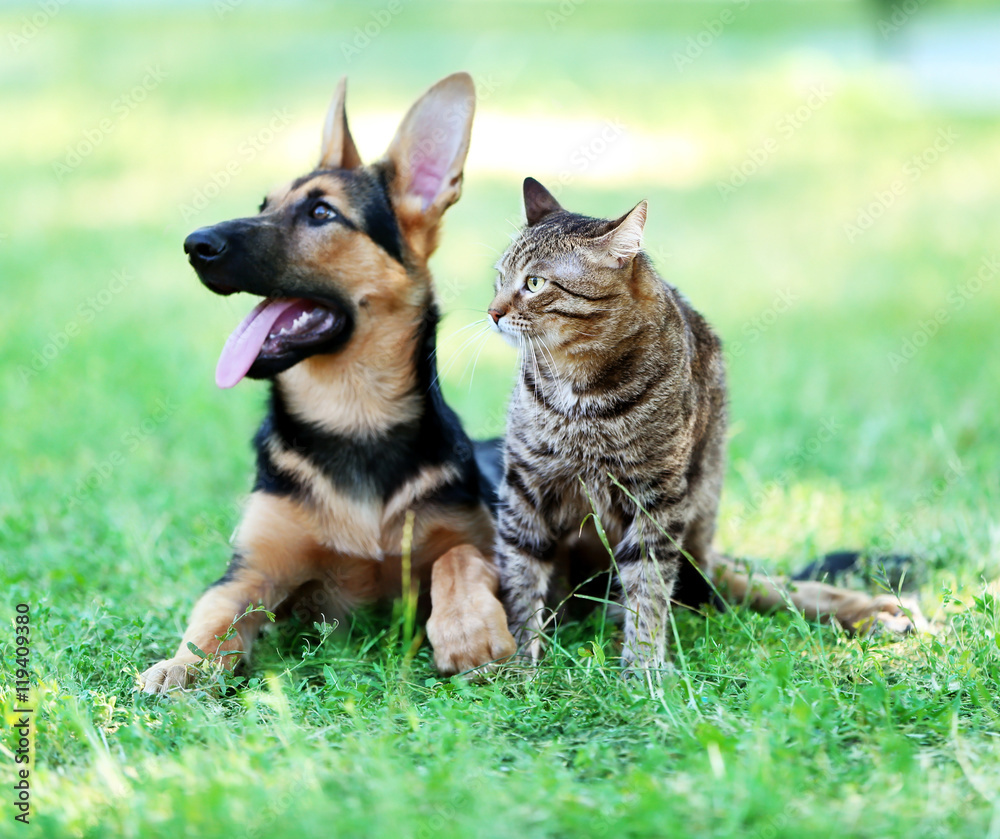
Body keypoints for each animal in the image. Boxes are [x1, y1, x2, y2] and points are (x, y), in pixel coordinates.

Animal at [141, 72, 516, 692]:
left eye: (321, 212)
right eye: (264, 205)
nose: (195, 244)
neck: (352, 413)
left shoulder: (480, 542)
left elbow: (457, 558)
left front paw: (469, 630)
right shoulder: (253, 568)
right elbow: (214, 614)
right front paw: (181, 667)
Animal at [486, 177, 728, 668]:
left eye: (535, 283)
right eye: (500, 277)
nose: (492, 312)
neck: (578, 392)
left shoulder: (658, 496)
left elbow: (648, 584)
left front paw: (643, 664)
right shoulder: (525, 483)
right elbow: (520, 570)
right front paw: (521, 657)